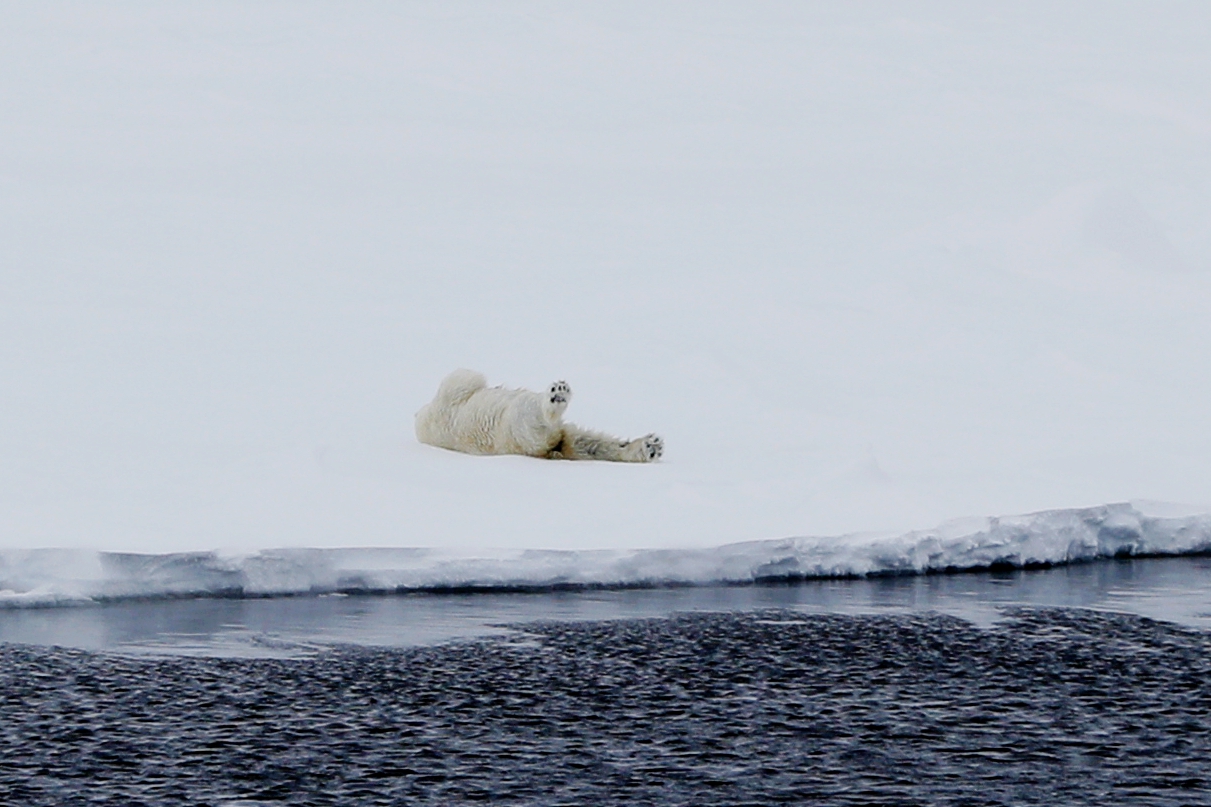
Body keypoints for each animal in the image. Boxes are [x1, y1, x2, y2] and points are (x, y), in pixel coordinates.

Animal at [414, 368, 663, 462]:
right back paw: (557, 395)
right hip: (514, 425)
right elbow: (466, 377)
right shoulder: (450, 397)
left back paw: (650, 446)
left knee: (584, 443)